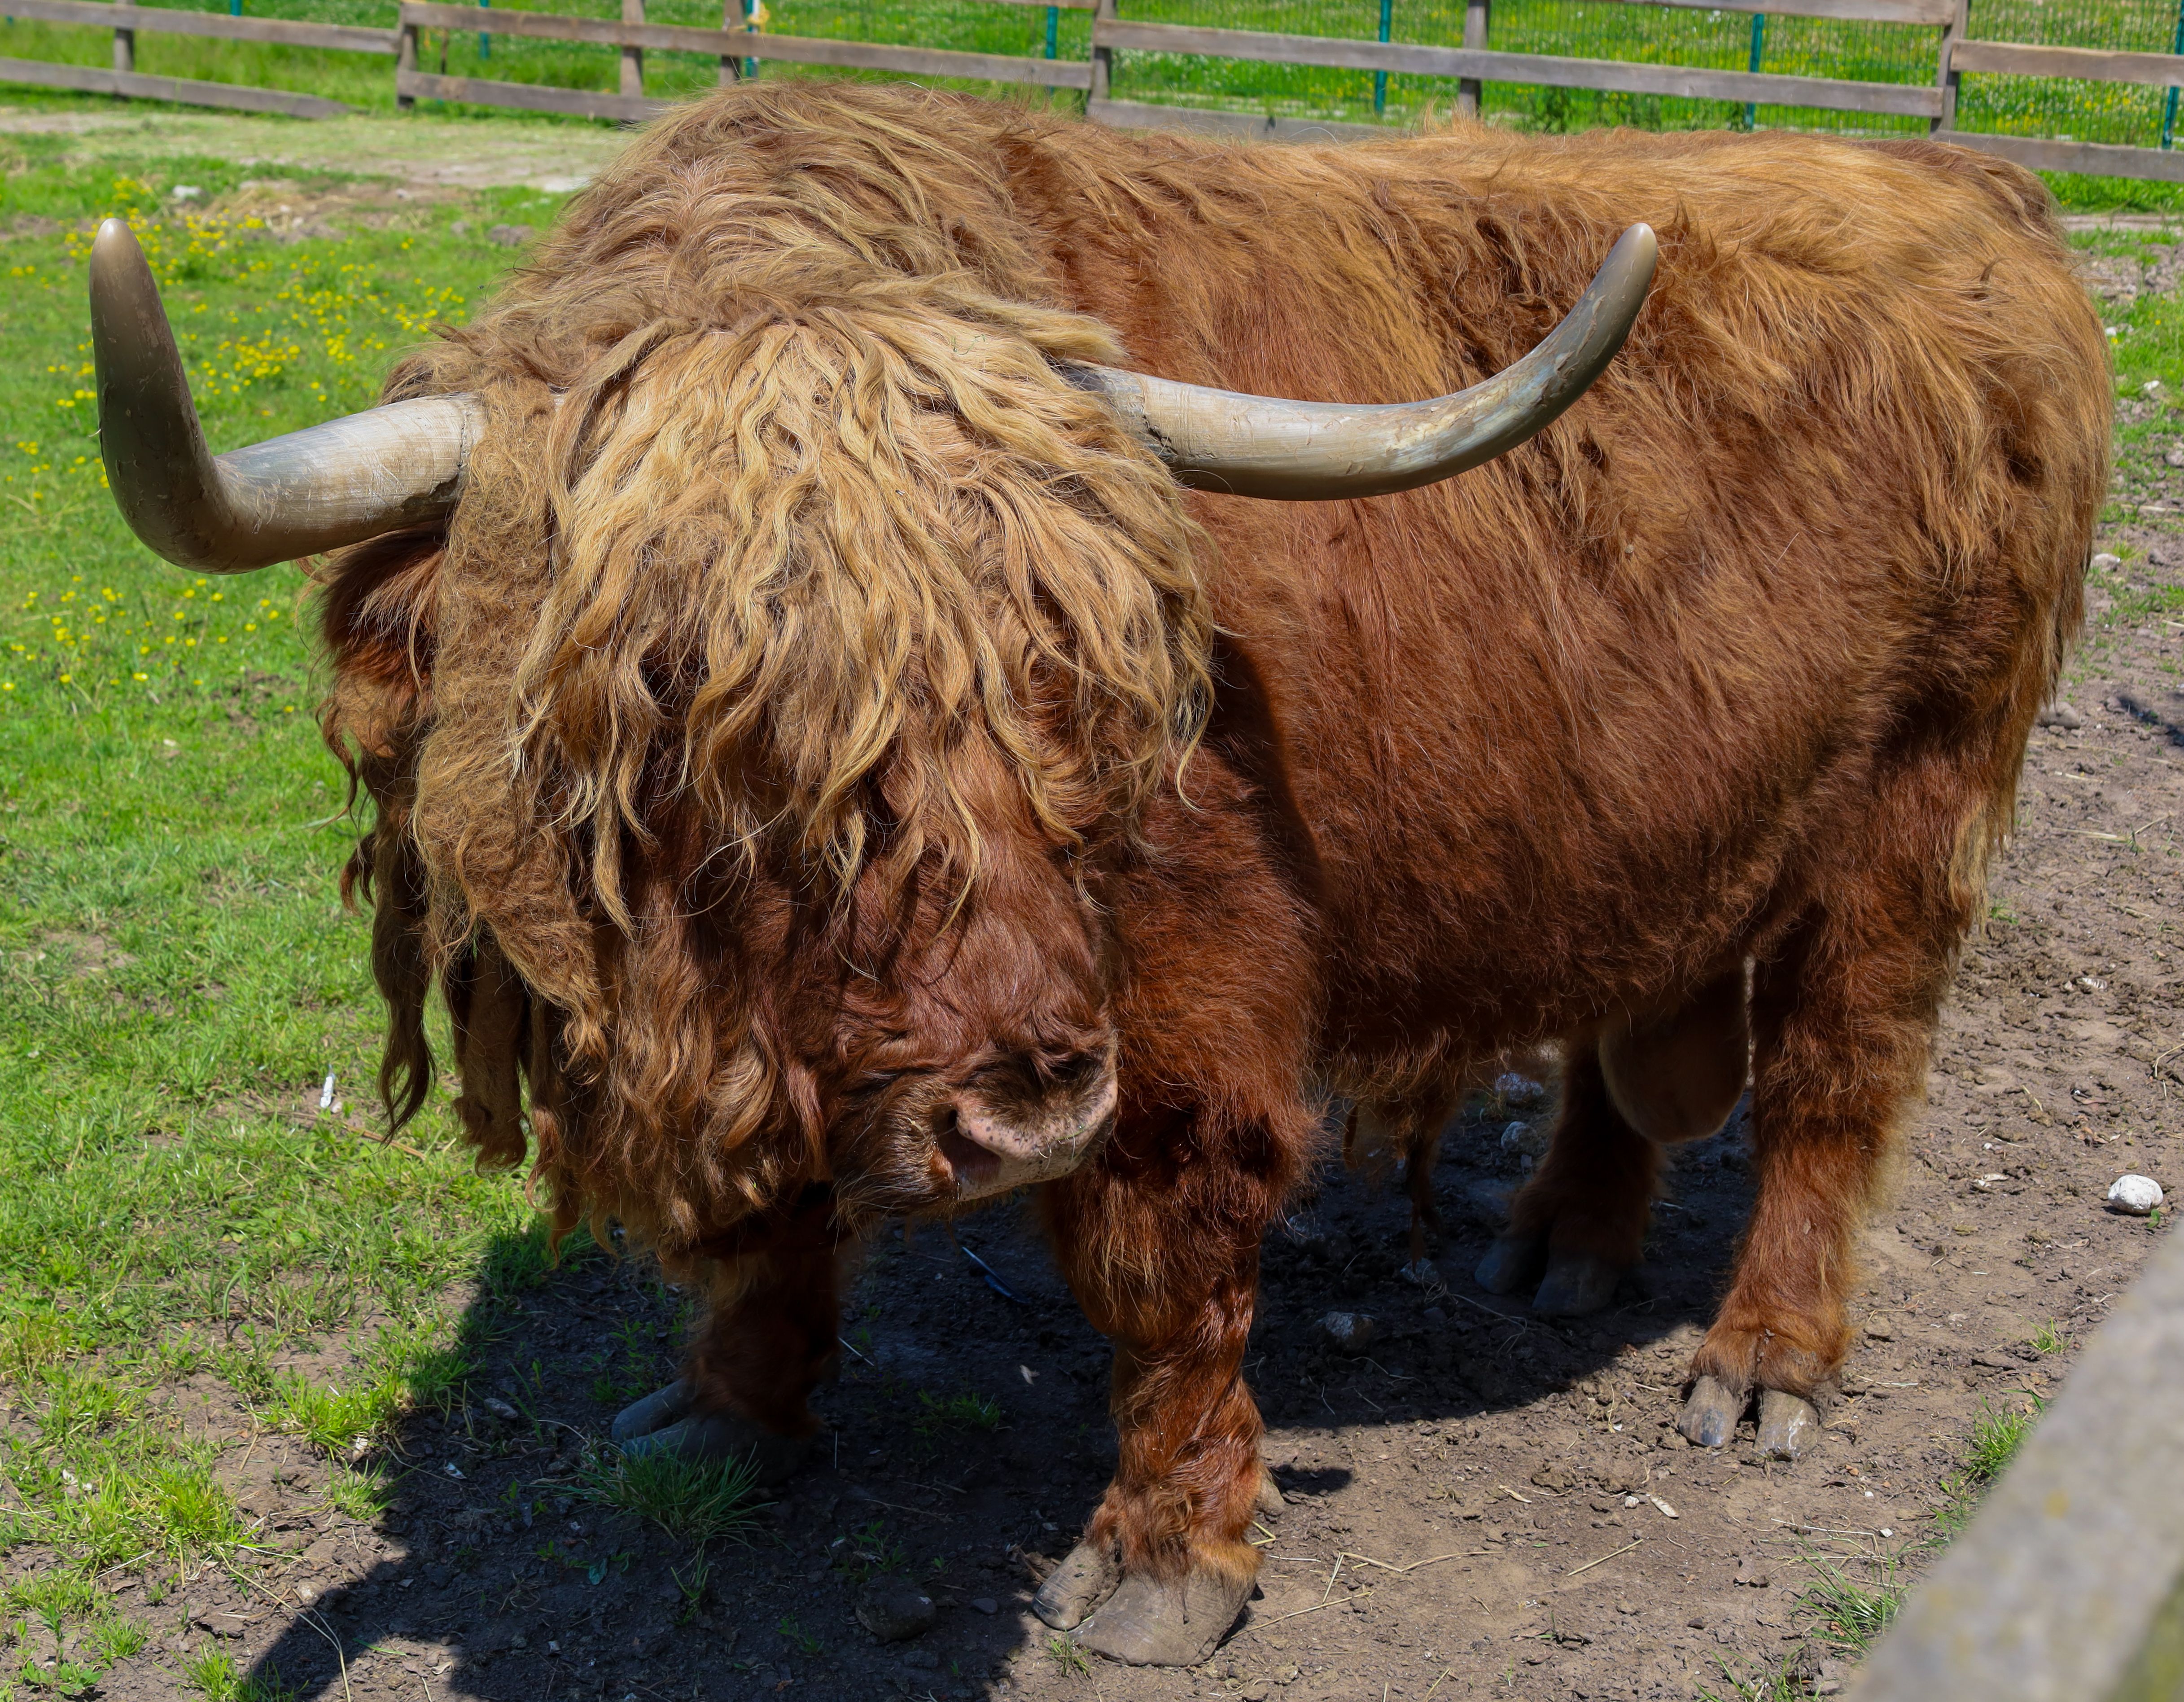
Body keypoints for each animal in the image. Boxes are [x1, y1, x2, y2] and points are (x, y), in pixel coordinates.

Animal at [88, 82, 2108, 1666]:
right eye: (693, 732)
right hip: (1660, 818)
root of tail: (1973, 189)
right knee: (1629, 1037)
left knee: (1835, 1081)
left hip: (1919, 798)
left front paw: (1162, 1561)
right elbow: (759, 1226)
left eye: (1074, 689)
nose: (1020, 1110)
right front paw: (726, 1415)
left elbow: (1164, 1263)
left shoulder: (1188, 997)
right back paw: (1553, 1252)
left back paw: (1762, 1366)